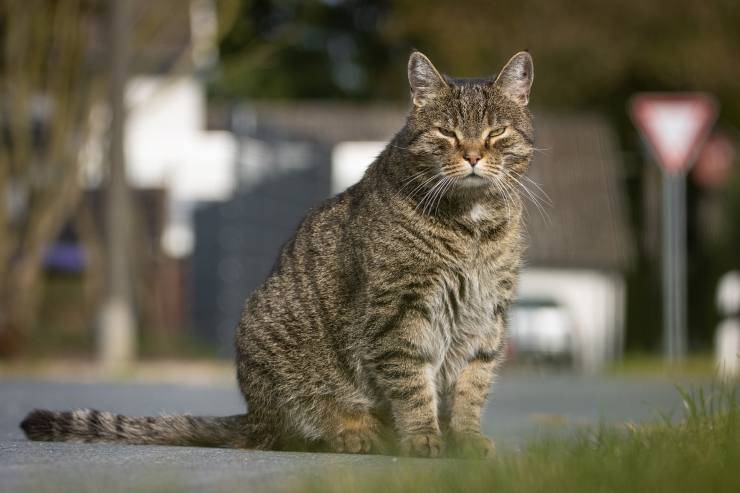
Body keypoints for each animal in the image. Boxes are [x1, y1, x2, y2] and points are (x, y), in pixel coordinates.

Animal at [20, 51, 536, 458]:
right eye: (446, 133)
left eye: (497, 133)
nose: (472, 155)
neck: (472, 225)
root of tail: (252, 415)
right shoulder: (399, 311)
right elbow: (413, 384)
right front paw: (424, 438)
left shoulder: (488, 316)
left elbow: (472, 387)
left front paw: (465, 440)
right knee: (302, 430)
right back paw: (356, 433)